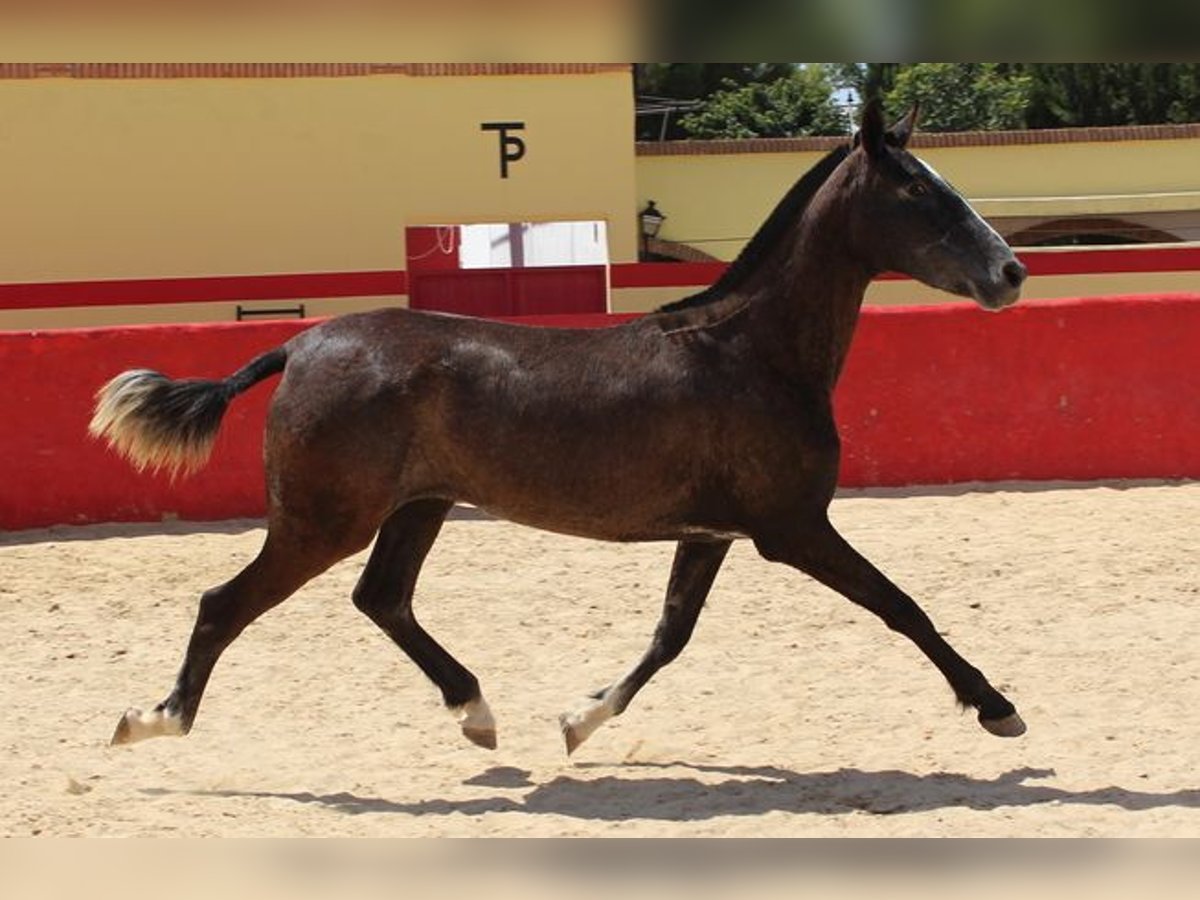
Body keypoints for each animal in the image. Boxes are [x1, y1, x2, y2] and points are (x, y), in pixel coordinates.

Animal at [93, 102, 1032, 758]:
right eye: (916, 188)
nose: (1011, 271)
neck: (748, 351)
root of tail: (302, 342)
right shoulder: (791, 527)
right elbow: (902, 606)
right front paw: (998, 707)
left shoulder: (713, 533)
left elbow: (670, 636)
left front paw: (579, 721)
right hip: (323, 520)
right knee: (225, 605)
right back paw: (152, 720)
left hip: (418, 507)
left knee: (382, 597)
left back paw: (476, 712)